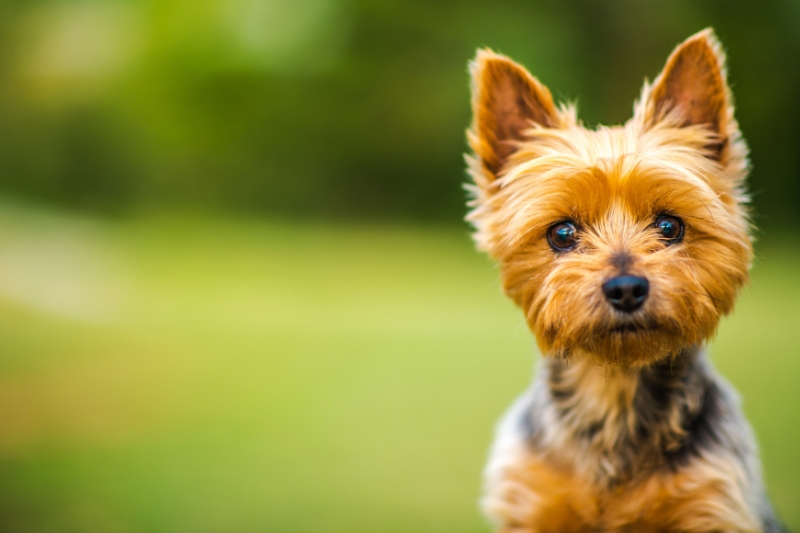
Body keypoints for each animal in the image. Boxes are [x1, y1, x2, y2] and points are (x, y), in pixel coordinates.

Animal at [466, 30, 784, 532]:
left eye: (670, 226)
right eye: (561, 233)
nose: (626, 289)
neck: (613, 387)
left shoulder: (714, 500)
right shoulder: (531, 501)